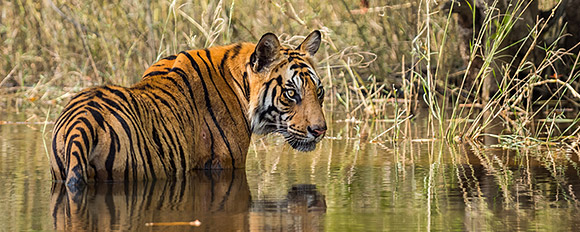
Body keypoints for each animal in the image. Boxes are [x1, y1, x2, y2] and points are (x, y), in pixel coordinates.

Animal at [51, 30, 326, 188]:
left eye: (319, 91)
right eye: (291, 93)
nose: (320, 130)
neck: (239, 84)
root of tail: (81, 124)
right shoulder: (226, 164)